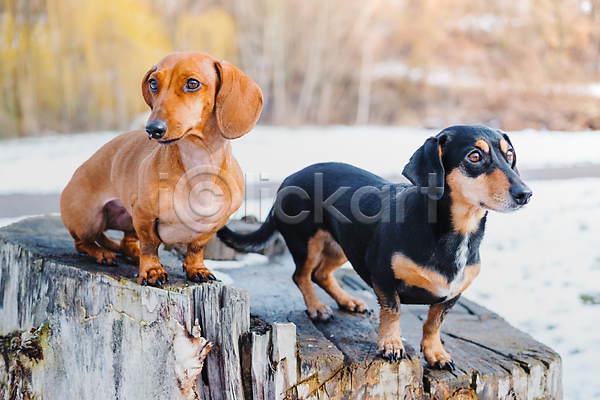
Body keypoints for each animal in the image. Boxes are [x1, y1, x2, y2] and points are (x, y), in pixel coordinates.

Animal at [60, 52, 262, 284]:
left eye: (192, 83)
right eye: (153, 83)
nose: (152, 129)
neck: (198, 161)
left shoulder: (215, 224)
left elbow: (196, 247)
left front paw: (197, 268)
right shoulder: (144, 214)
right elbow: (150, 245)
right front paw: (152, 271)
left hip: (127, 219)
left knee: (126, 243)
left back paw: (132, 253)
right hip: (90, 220)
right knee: (82, 243)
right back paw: (102, 253)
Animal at [218, 125, 532, 368]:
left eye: (510, 155)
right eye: (474, 156)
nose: (525, 194)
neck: (457, 233)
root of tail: (287, 180)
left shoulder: (452, 294)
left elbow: (433, 323)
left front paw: (436, 353)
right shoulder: (382, 275)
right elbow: (393, 311)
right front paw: (391, 345)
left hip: (343, 246)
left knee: (321, 274)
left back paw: (348, 301)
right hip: (308, 242)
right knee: (302, 275)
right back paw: (318, 307)